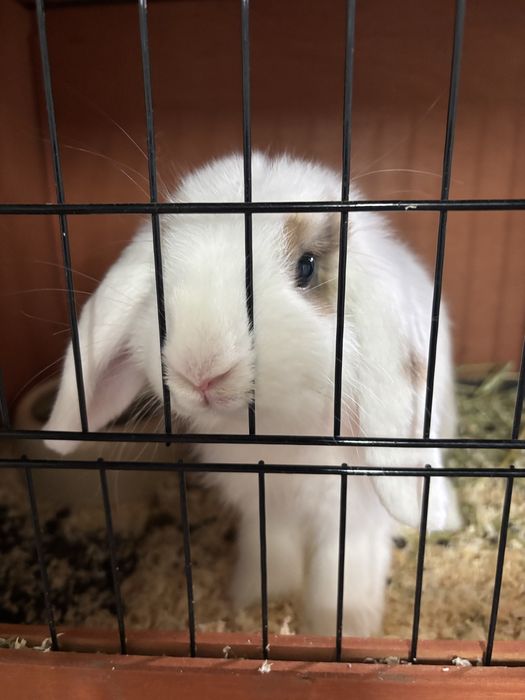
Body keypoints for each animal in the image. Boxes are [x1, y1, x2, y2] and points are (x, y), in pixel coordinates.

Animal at [44, 152, 461, 636]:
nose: (201, 368)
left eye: (307, 266)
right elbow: (273, 556)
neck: (280, 435)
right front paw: (257, 602)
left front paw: (340, 627)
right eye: (162, 270)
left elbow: (342, 569)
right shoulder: (265, 509)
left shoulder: (350, 514)